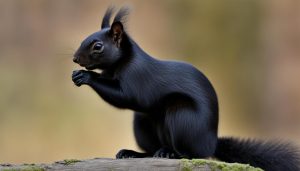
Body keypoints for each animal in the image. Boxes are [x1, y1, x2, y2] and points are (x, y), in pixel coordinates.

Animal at [71, 6, 298, 170]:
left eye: (98, 46)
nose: (75, 59)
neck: (118, 64)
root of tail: (211, 142)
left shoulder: (138, 77)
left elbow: (127, 97)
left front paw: (86, 76)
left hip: (182, 116)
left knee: (191, 153)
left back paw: (170, 153)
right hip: (143, 123)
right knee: (151, 148)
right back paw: (134, 153)